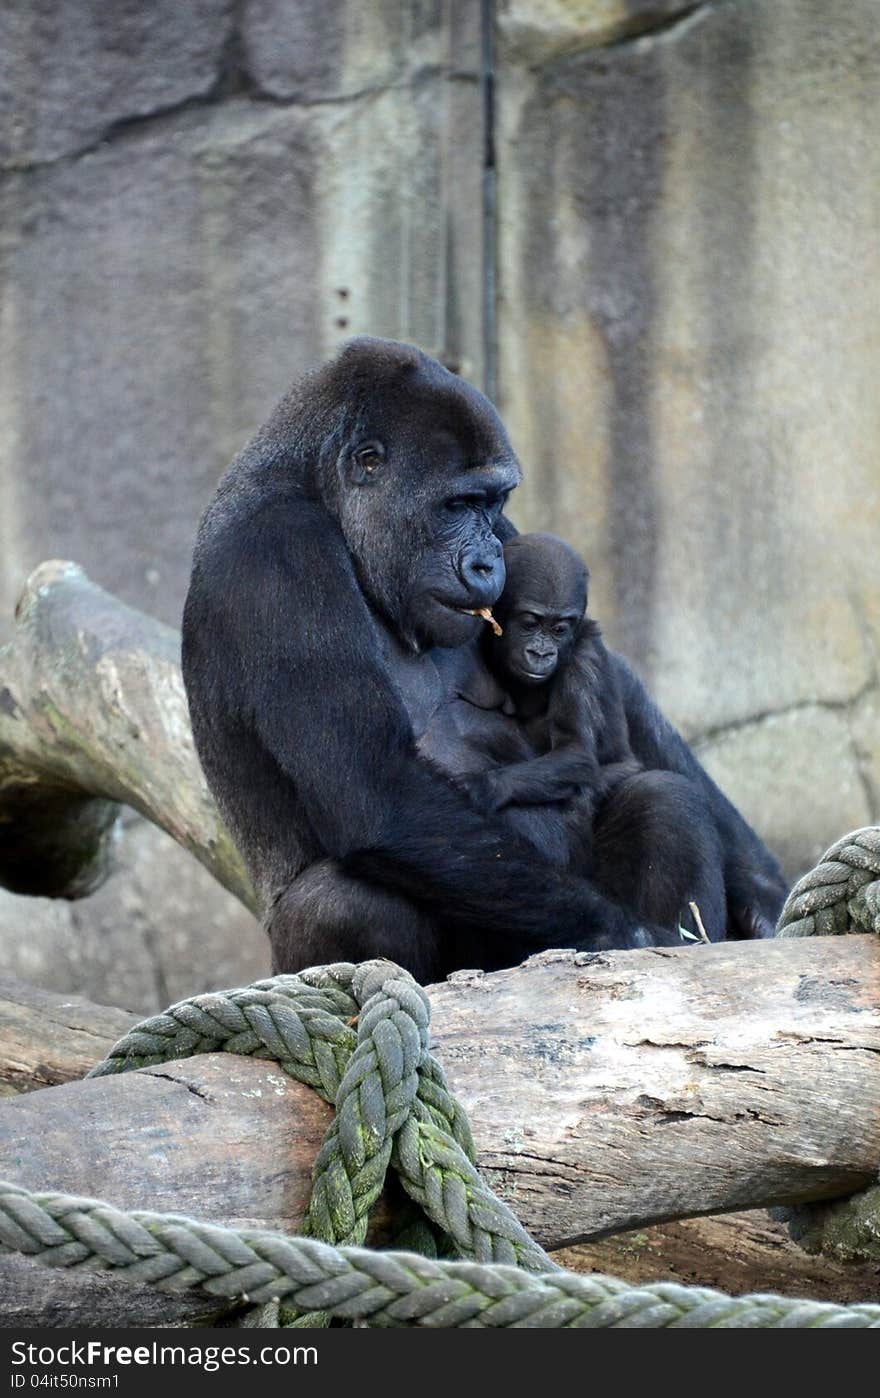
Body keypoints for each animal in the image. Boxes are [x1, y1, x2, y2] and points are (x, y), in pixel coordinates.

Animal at [181, 335, 783, 984]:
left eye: (492, 503)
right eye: (458, 504)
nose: (486, 561)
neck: (315, 487)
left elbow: (606, 673)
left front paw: (761, 890)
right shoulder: (279, 554)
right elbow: (374, 786)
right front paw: (633, 935)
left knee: (666, 800)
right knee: (344, 900)